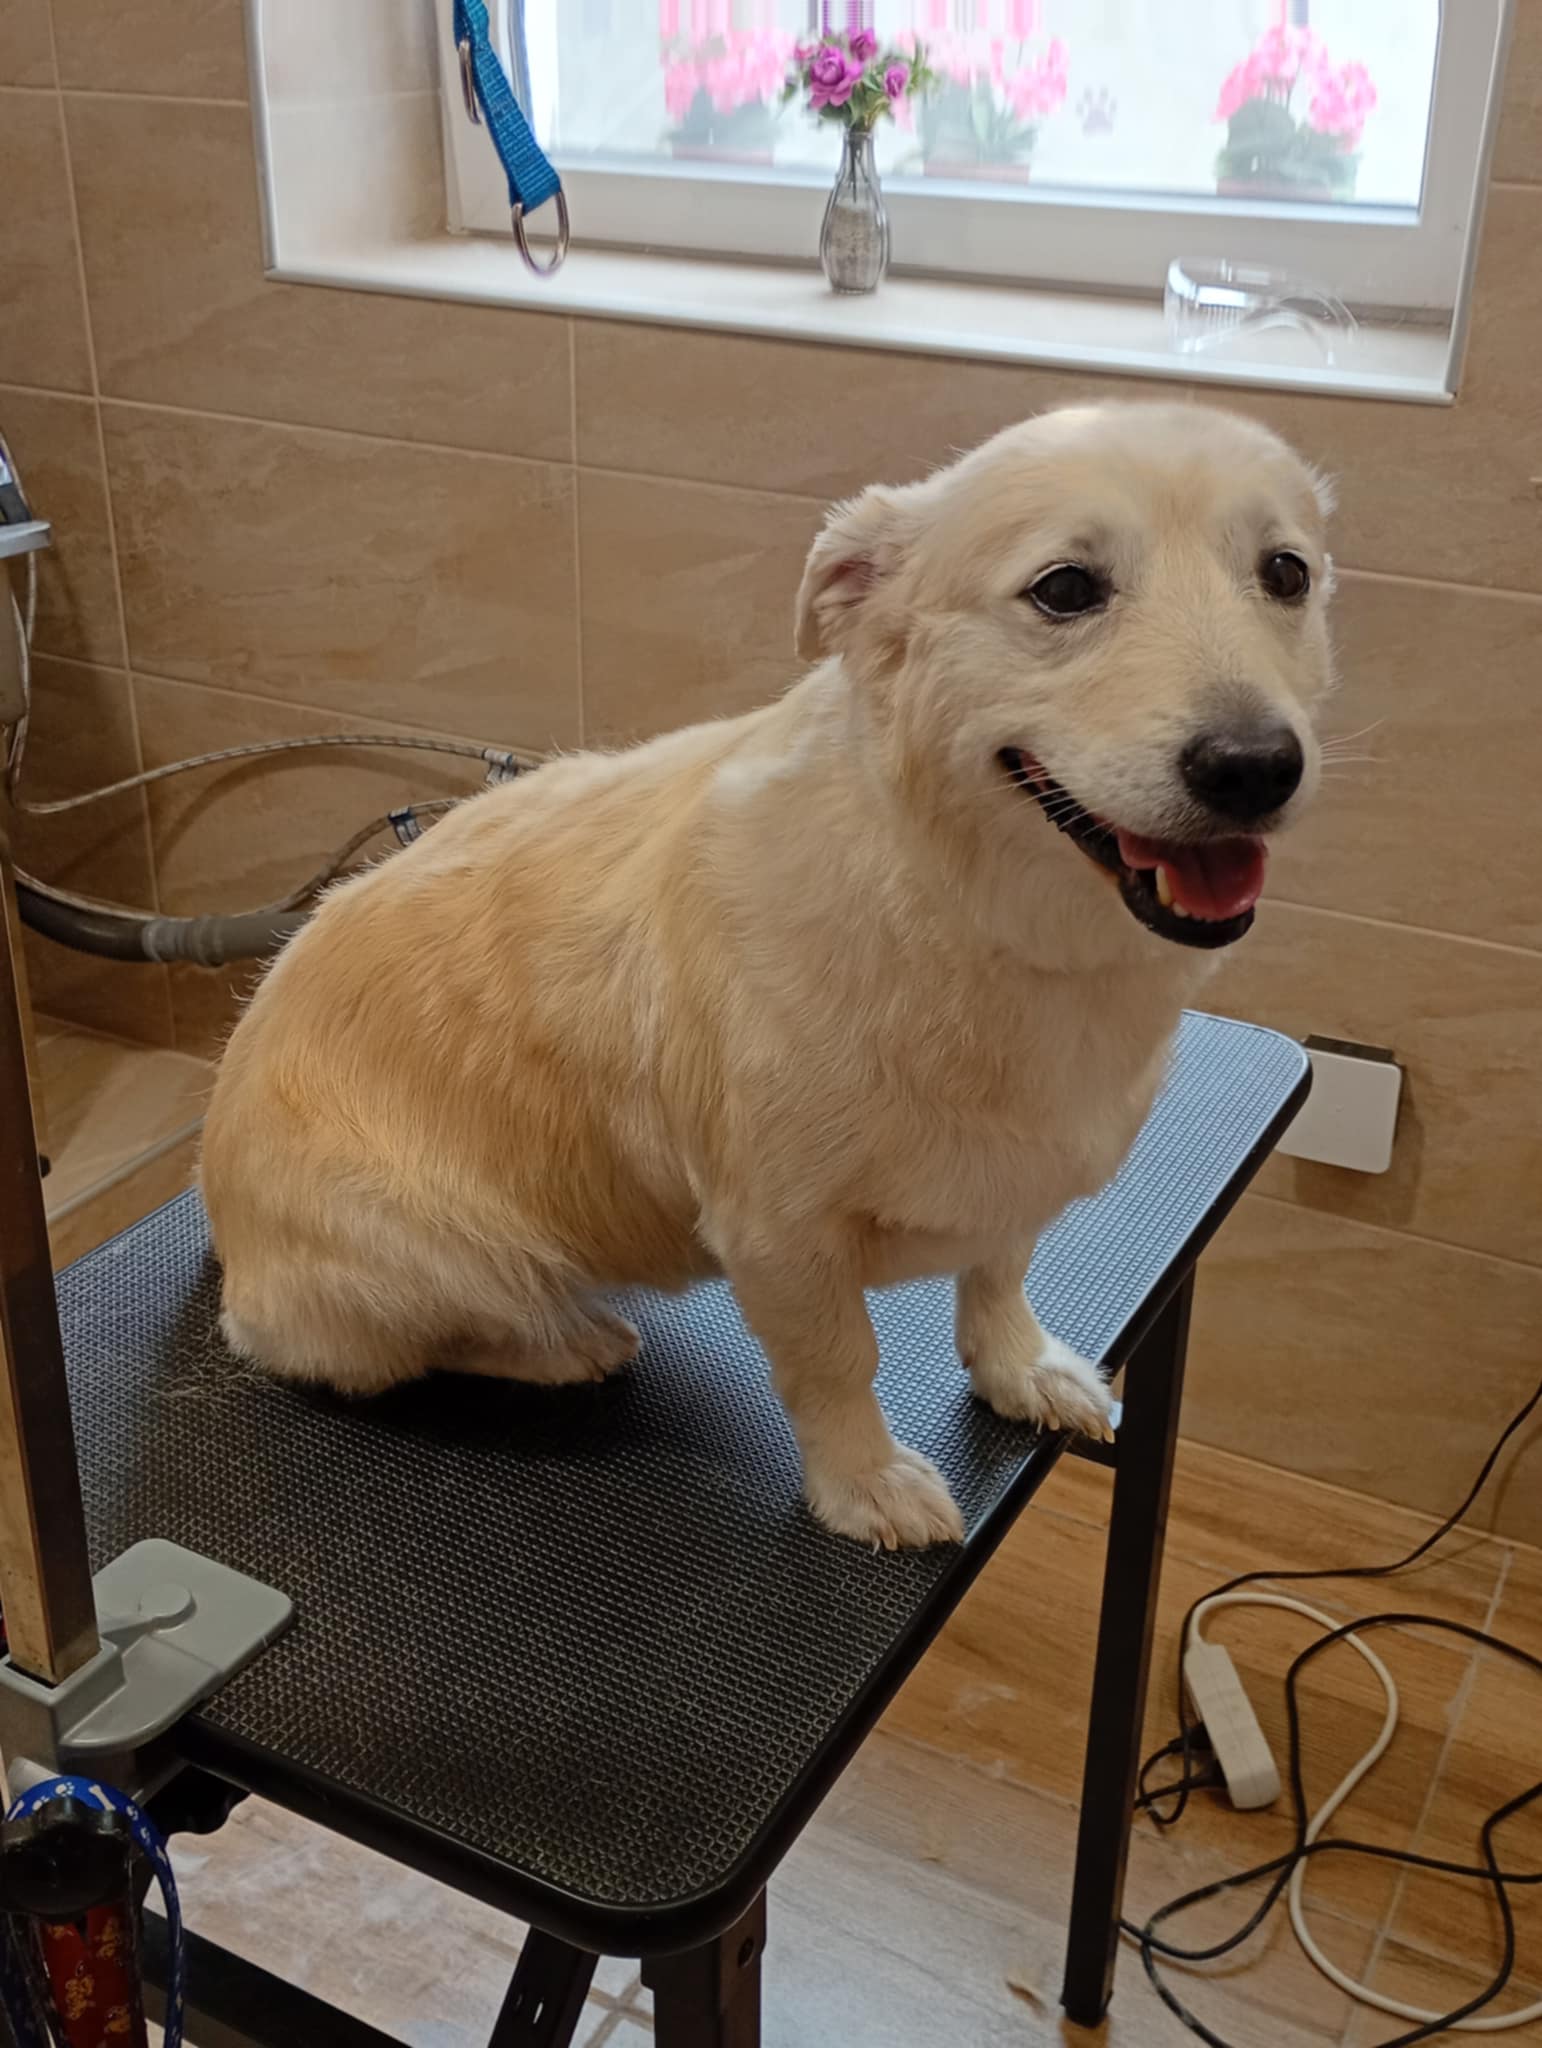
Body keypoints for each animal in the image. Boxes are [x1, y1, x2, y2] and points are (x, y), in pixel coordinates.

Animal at [200, 401, 1334, 1550]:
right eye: (1065, 588)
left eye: (1287, 573)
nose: (1255, 767)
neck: (978, 922)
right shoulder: (782, 1236)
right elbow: (839, 1364)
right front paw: (863, 1482)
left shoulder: (1012, 1191)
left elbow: (999, 1273)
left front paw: (1019, 1367)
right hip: (443, 1255)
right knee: (360, 1344)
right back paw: (563, 1341)